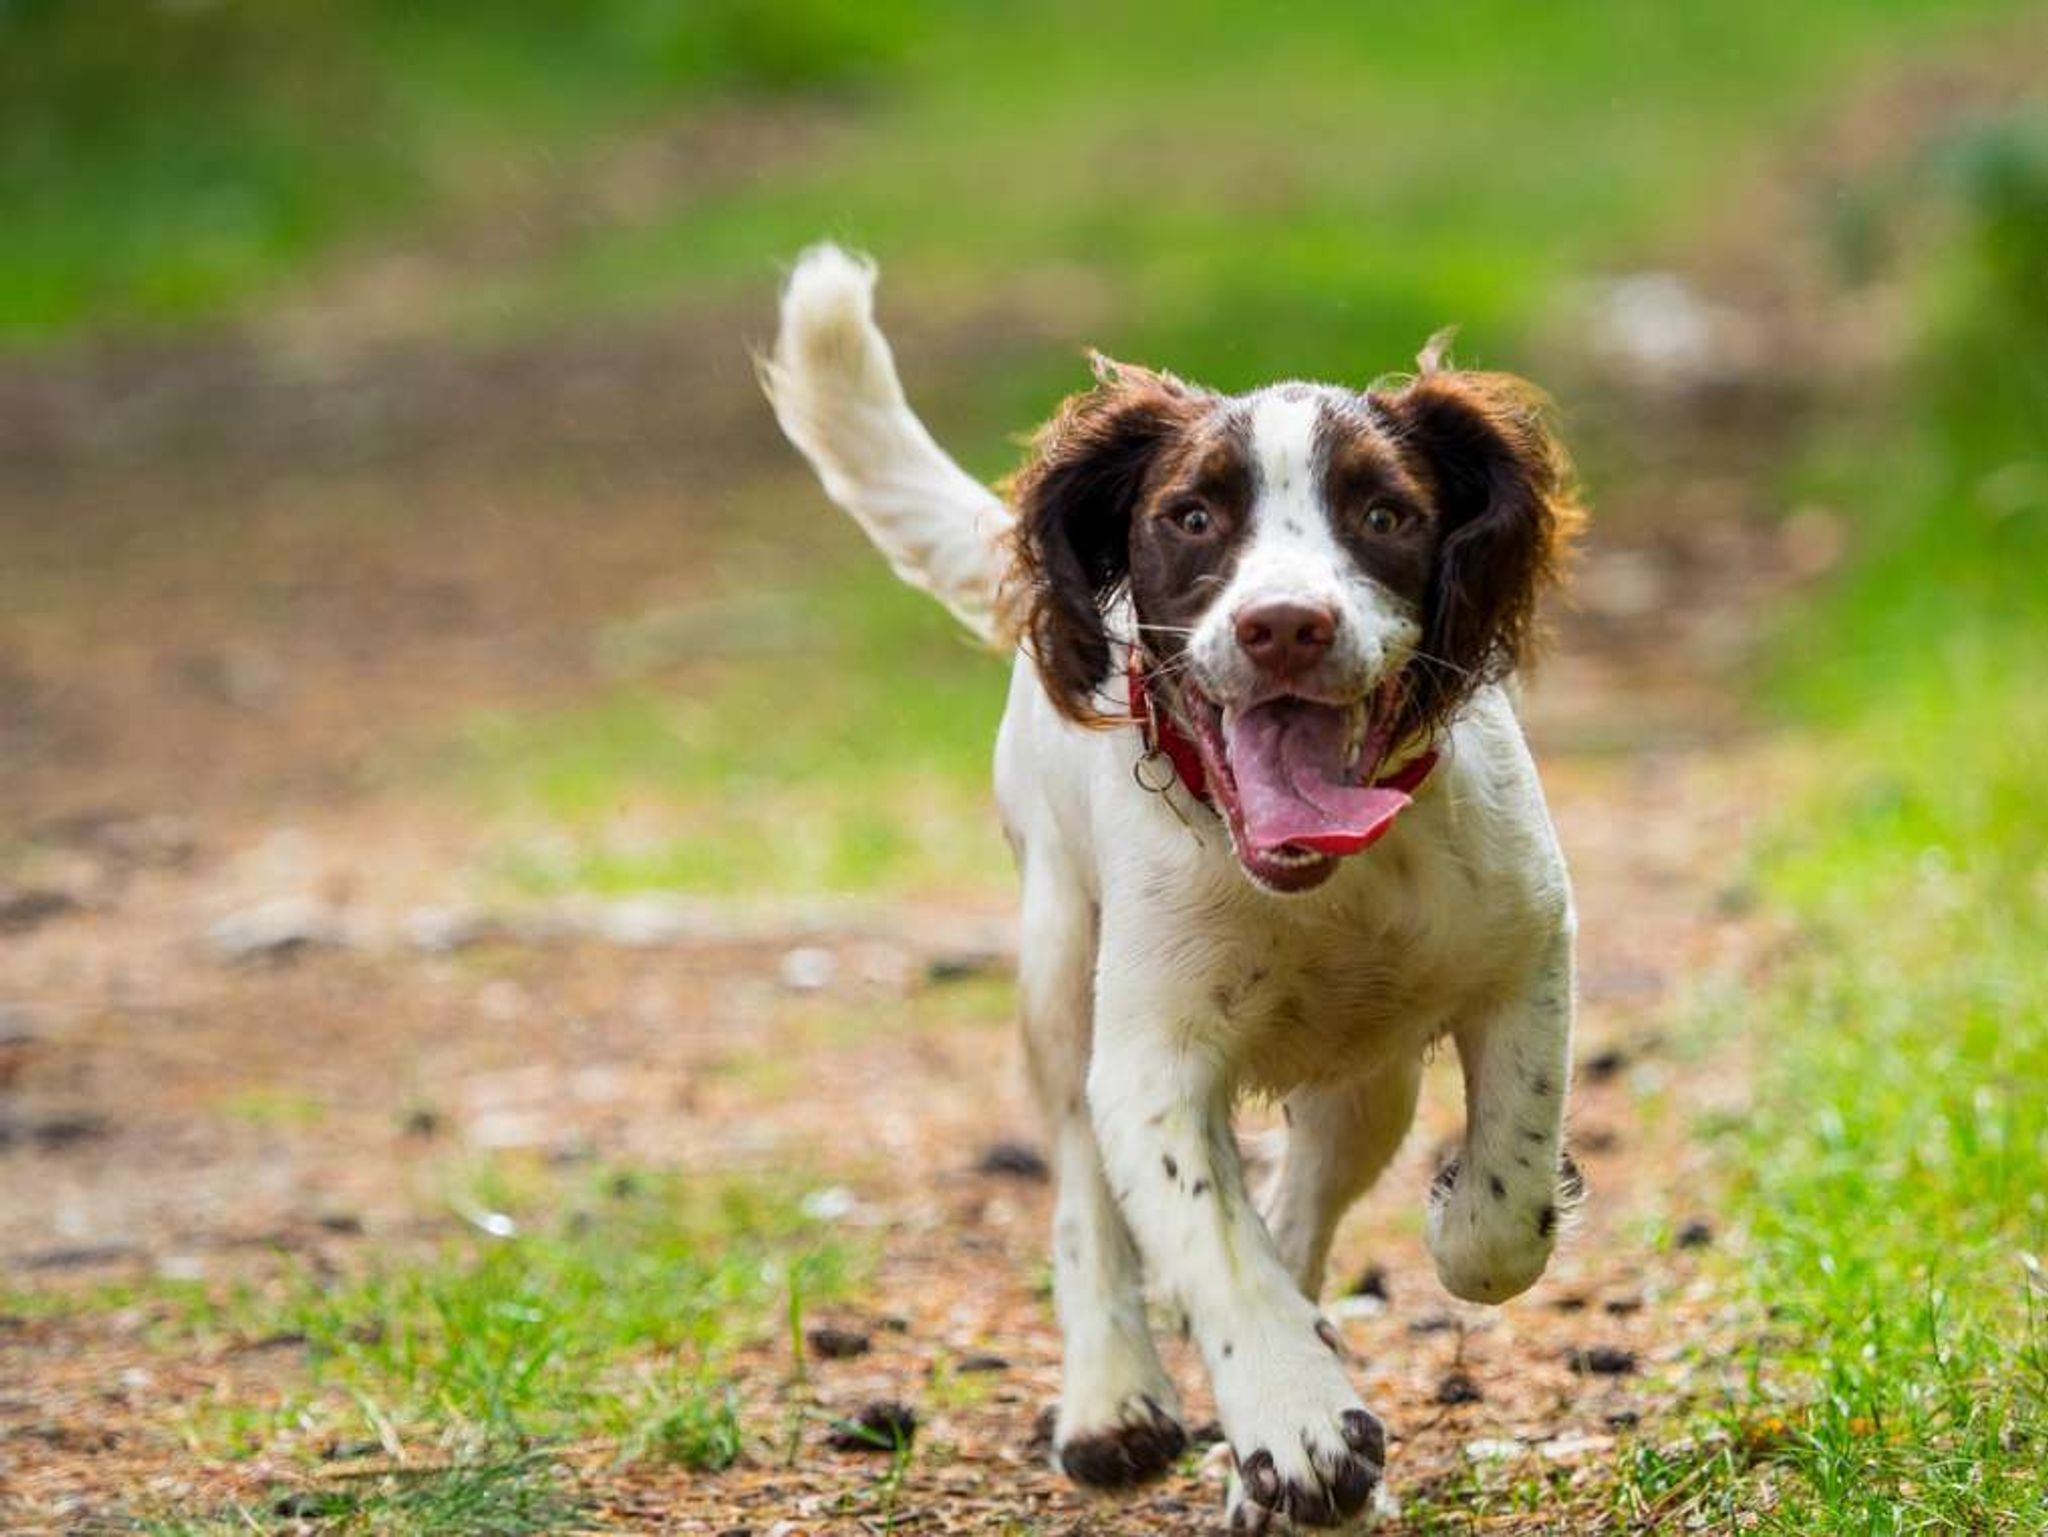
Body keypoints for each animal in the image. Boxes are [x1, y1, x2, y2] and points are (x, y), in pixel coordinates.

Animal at [765, 246, 1581, 1532]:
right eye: (1190, 516)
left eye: (1384, 515)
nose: (1285, 626)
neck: (1317, 880)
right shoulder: (1147, 1056)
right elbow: (1206, 1240)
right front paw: (1296, 1425)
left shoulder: (1526, 943)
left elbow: (1504, 1200)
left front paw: (1453, 1221)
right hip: (1058, 967)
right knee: (1083, 1192)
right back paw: (1113, 1401)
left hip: (1368, 1081)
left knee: (1301, 1205)